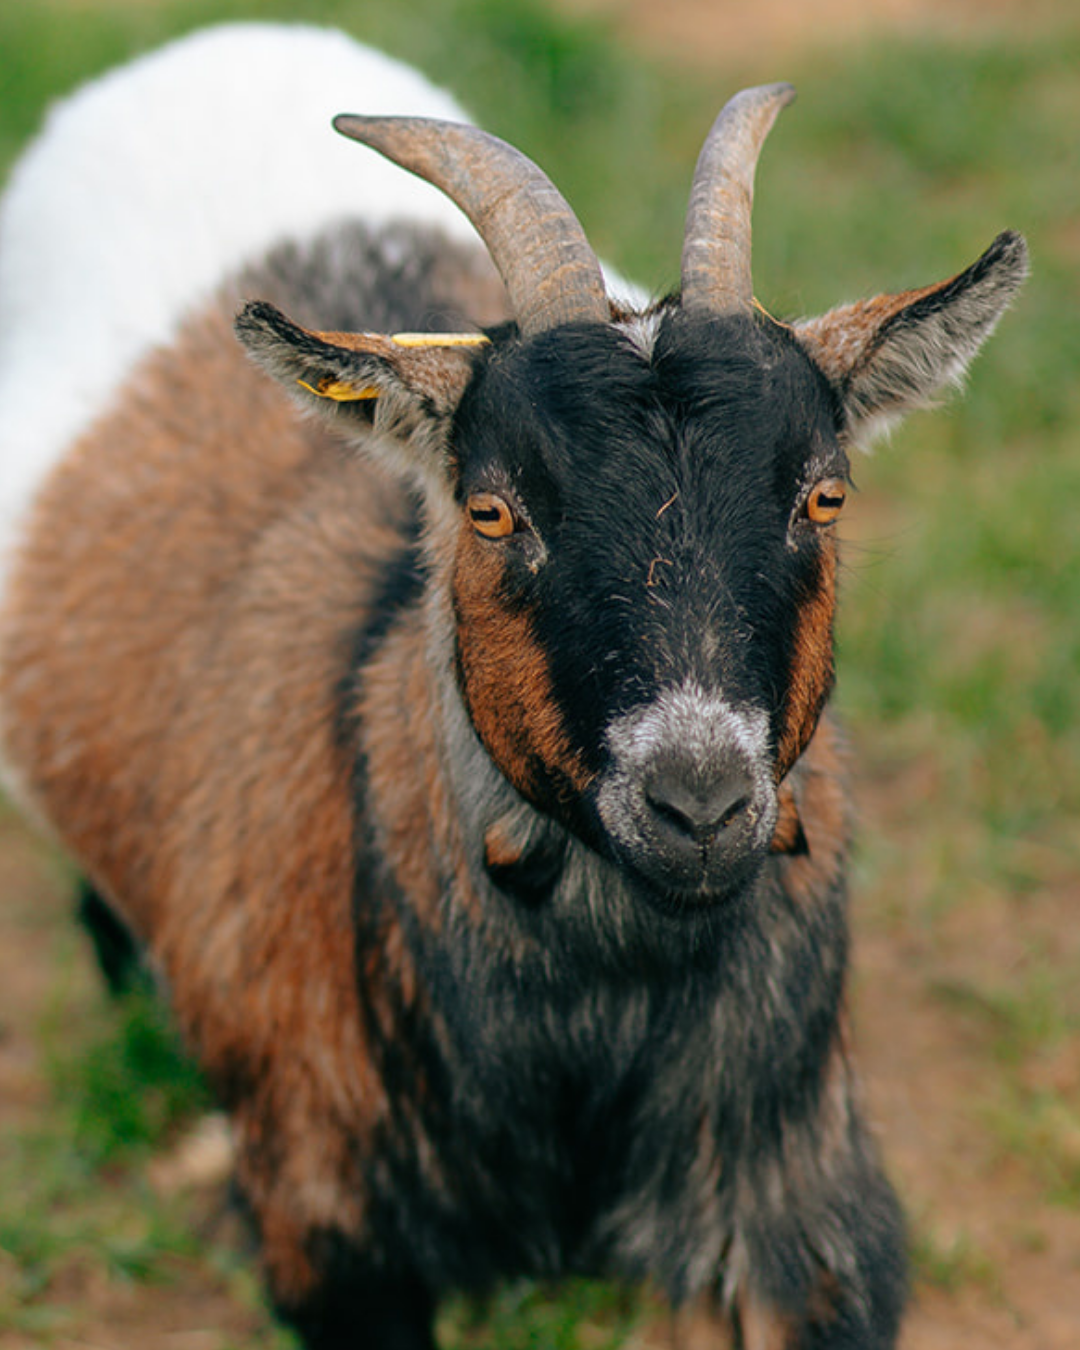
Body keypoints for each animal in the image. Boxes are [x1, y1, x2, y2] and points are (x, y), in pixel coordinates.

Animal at [0, 21, 1027, 1350]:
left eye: (824, 493)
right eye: (492, 510)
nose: (698, 803)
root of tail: (218, 41)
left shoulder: (814, 1212)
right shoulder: (327, 1223)